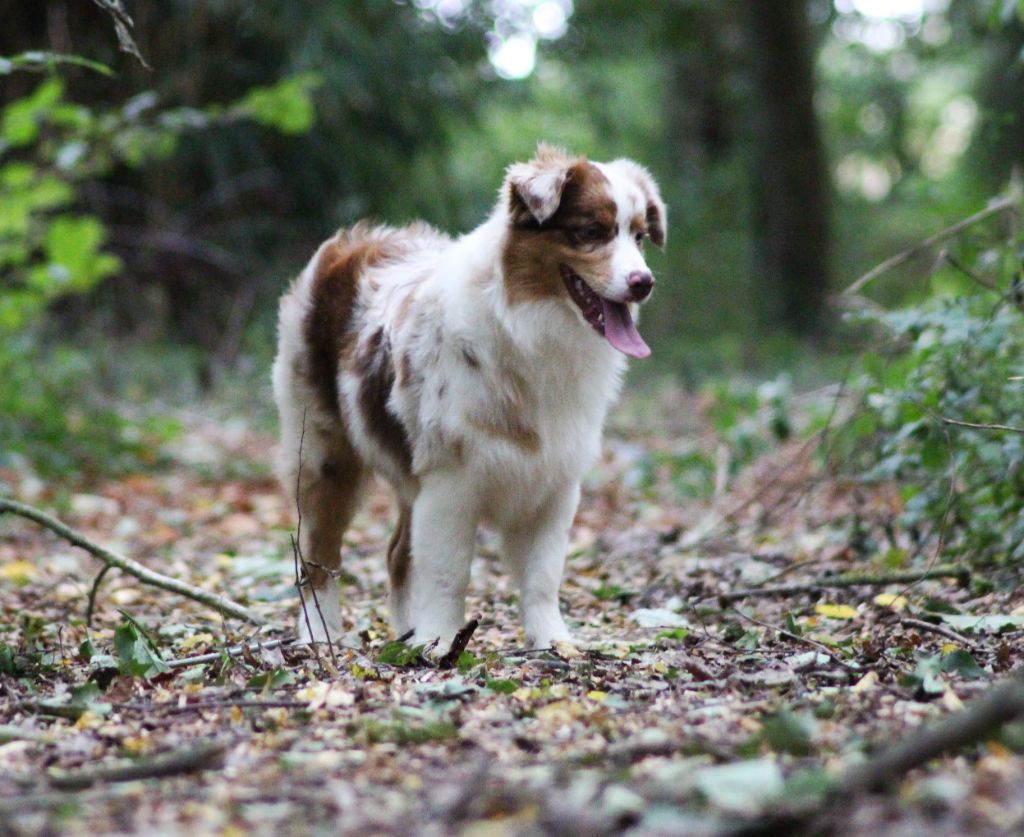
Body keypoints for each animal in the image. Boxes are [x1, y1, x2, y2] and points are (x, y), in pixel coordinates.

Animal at [272, 143, 667, 651]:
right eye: (590, 233)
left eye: (639, 237)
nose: (644, 281)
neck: (528, 330)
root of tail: (352, 240)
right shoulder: (451, 483)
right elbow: (448, 573)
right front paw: (442, 643)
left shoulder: (555, 483)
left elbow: (542, 577)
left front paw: (552, 642)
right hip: (324, 454)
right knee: (318, 556)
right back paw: (321, 633)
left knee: (398, 554)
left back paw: (407, 635)